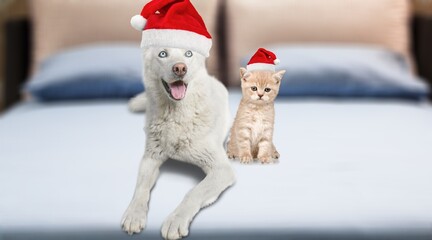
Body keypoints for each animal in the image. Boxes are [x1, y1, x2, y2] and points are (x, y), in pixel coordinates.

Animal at [120, 47, 236, 240]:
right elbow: (140, 188)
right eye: (163, 54)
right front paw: (134, 215)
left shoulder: (221, 170)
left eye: (189, 53)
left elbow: (194, 192)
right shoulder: (150, 159)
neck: (176, 115)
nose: (180, 68)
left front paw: (176, 220)